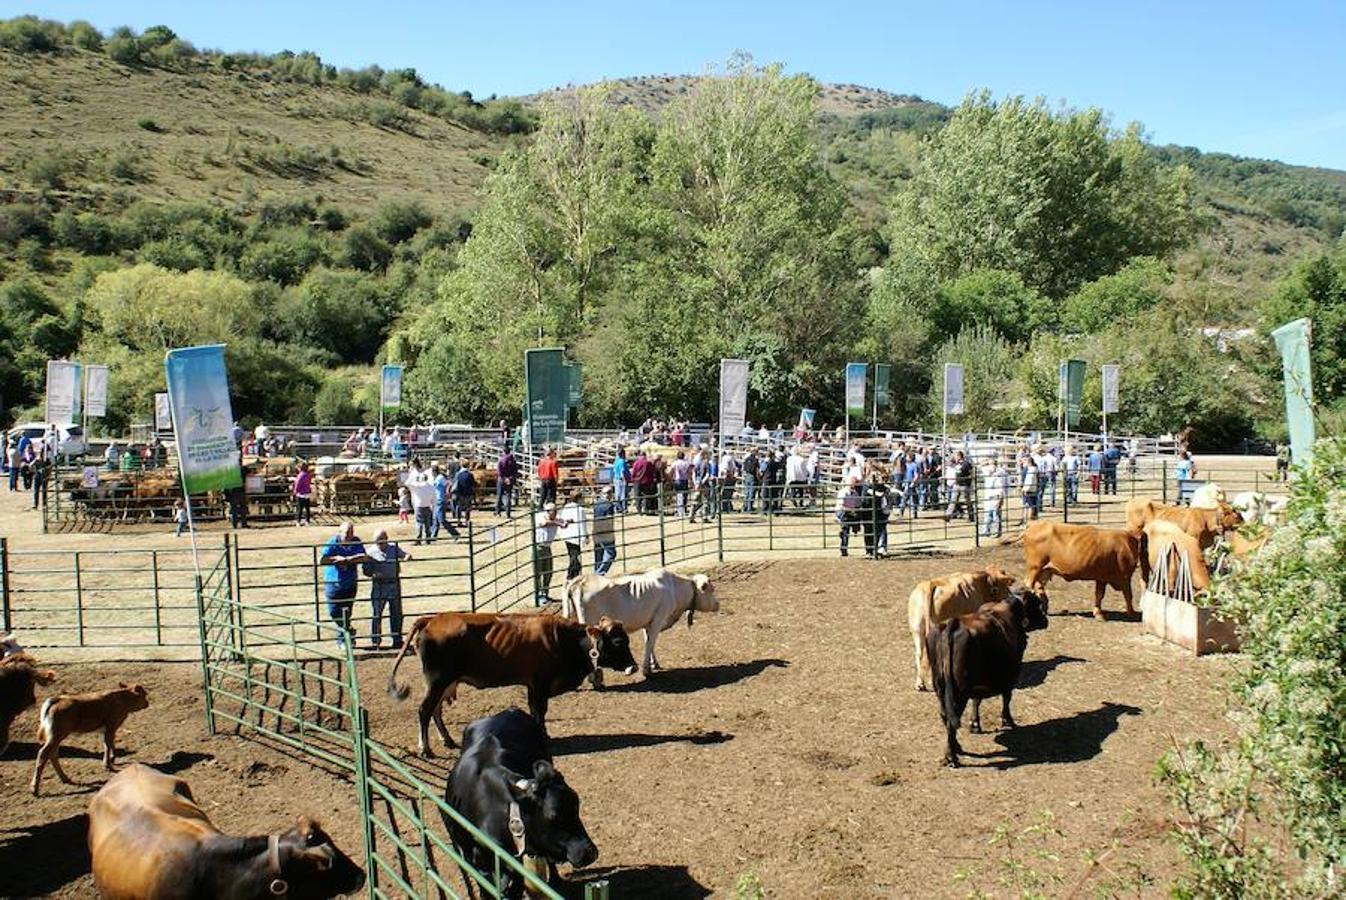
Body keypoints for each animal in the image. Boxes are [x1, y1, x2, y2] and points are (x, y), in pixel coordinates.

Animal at [387, 613, 638, 753]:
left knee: (435, 710)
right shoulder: (539, 684)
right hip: (437, 680)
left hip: (444, 683)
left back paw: (447, 739)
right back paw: (425, 747)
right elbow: (539, 711)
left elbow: (535, 710)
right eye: (618, 642)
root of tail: (431, 620)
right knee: (424, 710)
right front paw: (542, 736)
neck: (564, 640)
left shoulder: (532, 685)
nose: (633, 666)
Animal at [909, 565, 1012, 694]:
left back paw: (920, 684)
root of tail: (930, 583)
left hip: (917, 630)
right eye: (1005, 584)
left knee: (919, 654)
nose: (1010, 595)